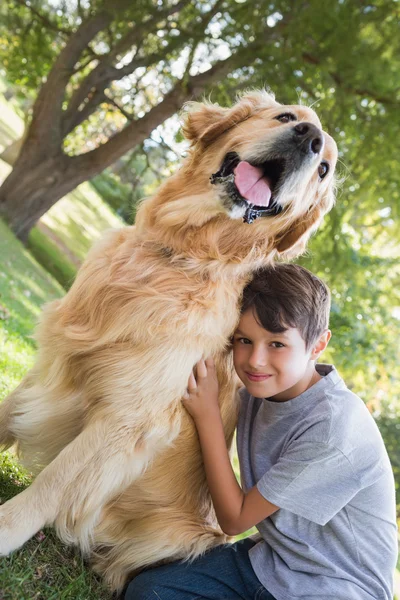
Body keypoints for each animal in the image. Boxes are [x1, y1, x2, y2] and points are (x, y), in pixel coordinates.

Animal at [0, 90, 338, 592]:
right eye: (286, 117)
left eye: (324, 170)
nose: (310, 139)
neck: (181, 256)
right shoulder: (60, 354)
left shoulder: (127, 419)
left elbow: (53, 485)